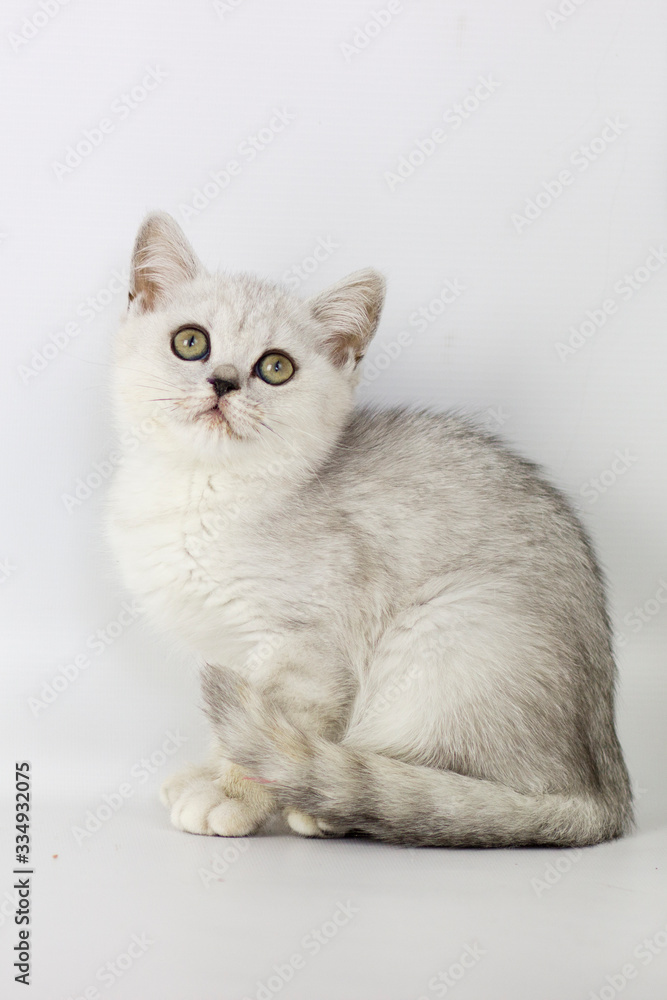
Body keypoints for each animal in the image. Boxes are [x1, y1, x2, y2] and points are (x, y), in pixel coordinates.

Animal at [107, 211, 636, 844]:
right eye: (191, 342)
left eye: (275, 368)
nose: (225, 382)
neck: (201, 493)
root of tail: (605, 791)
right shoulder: (235, 655)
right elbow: (240, 726)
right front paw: (210, 771)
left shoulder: (308, 648)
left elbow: (273, 735)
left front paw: (232, 794)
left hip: (443, 628)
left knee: (453, 790)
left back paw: (332, 807)